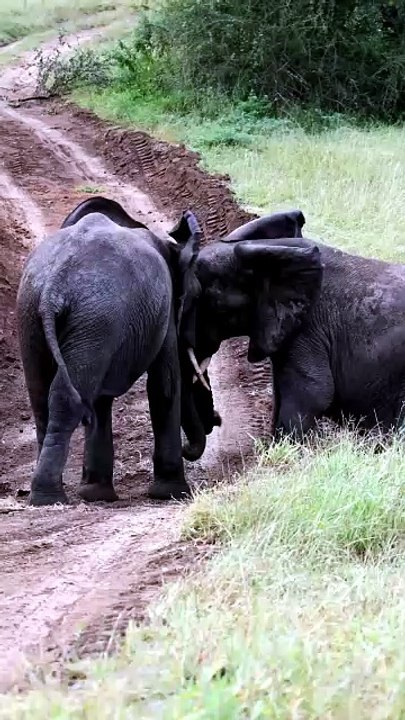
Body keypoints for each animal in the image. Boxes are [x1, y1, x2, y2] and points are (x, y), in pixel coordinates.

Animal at [17, 197, 220, 507]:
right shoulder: (163, 311)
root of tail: (53, 287)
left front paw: (96, 494)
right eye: (195, 297)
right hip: (92, 318)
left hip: (39, 315)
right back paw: (48, 498)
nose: (215, 421)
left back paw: (46, 494)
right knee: (67, 400)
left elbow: (102, 398)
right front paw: (172, 493)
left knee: (42, 399)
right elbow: (165, 385)